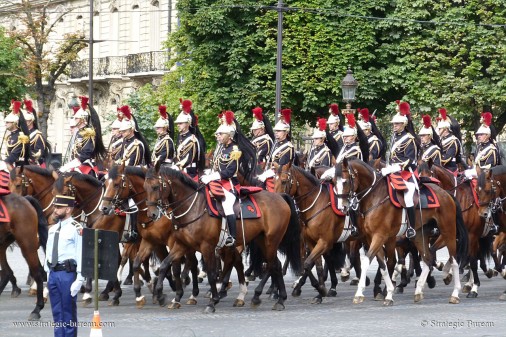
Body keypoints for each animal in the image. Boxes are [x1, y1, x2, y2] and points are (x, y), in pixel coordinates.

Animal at [142, 166, 300, 312]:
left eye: (155, 187)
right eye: (145, 187)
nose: (151, 214)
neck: (193, 208)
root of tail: (280, 196)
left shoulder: (207, 247)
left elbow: (212, 274)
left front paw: (212, 301)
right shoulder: (182, 245)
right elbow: (164, 264)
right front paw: (163, 294)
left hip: (271, 241)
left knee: (272, 265)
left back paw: (269, 297)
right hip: (262, 241)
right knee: (275, 265)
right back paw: (275, 299)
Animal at [272, 161, 352, 302]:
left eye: (283, 181)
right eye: (273, 181)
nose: (277, 202)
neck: (316, 205)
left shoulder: (324, 242)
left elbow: (308, 263)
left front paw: (319, 288)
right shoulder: (310, 241)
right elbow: (313, 264)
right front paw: (320, 291)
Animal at [336, 158, 466, 304]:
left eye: (345, 181)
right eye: (334, 181)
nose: (342, 206)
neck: (375, 196)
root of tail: (446, 193)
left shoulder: (380, 236)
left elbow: (372, 262)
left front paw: (361, 293)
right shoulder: (374, 239)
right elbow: (384, 265)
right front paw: (388, 292)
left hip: (448, 232)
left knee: (454, 261)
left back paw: (454, 292)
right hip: (419, 235)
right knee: (427, 258)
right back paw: (418, 290)